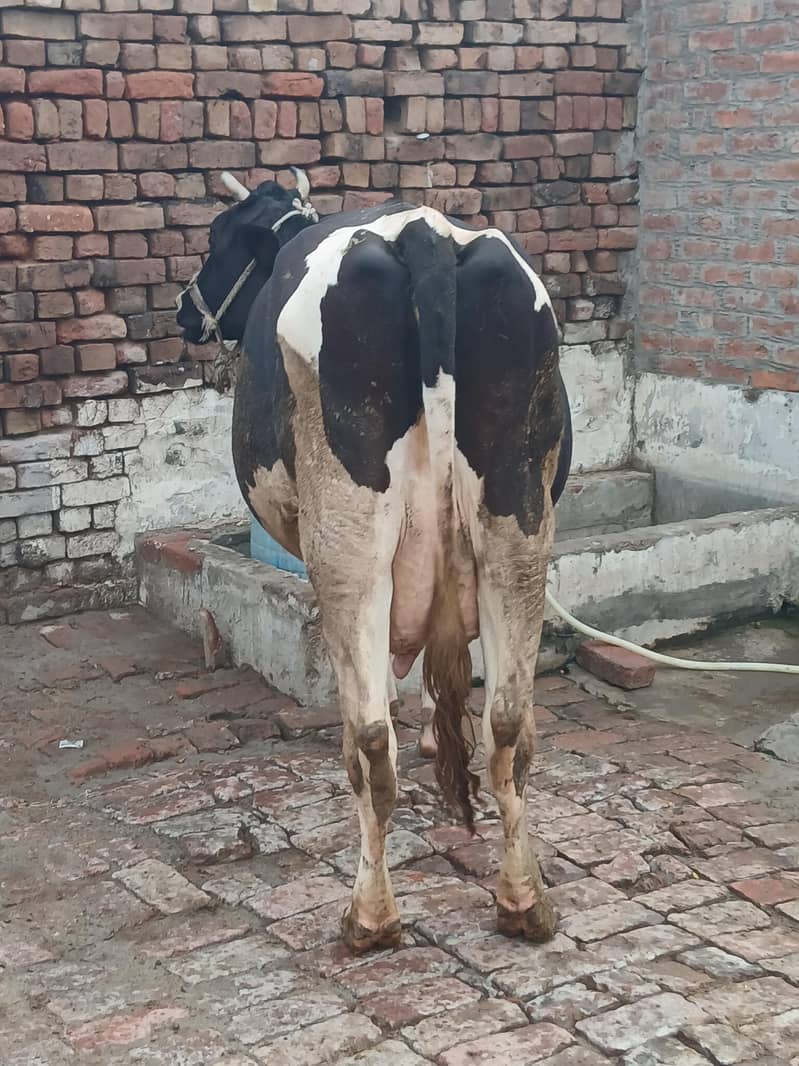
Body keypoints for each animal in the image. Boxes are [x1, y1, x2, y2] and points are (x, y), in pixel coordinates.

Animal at [177, 173, 573, 953]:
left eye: (216, 239)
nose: (184, 310)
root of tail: (422, 234)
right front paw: (431, 733)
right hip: (518, 519)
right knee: (509, 727)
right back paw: (522, 903)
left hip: (348, 540)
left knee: (365, 739)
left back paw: (370, 918)